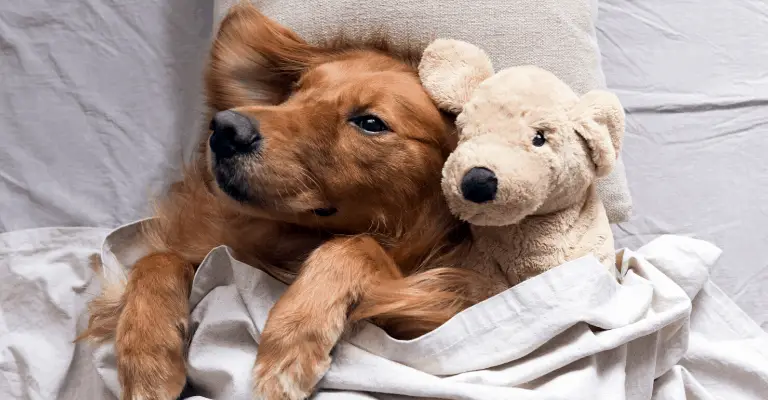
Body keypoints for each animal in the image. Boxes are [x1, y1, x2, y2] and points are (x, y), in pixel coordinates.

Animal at [81, 3, 498, 400]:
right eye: (296, 92)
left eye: (371, 123)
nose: (226, 129)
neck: (289, 241)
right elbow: (156, 259)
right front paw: (146, 358)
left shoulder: (429, 308)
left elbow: (353, 246)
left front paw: (291, 341)